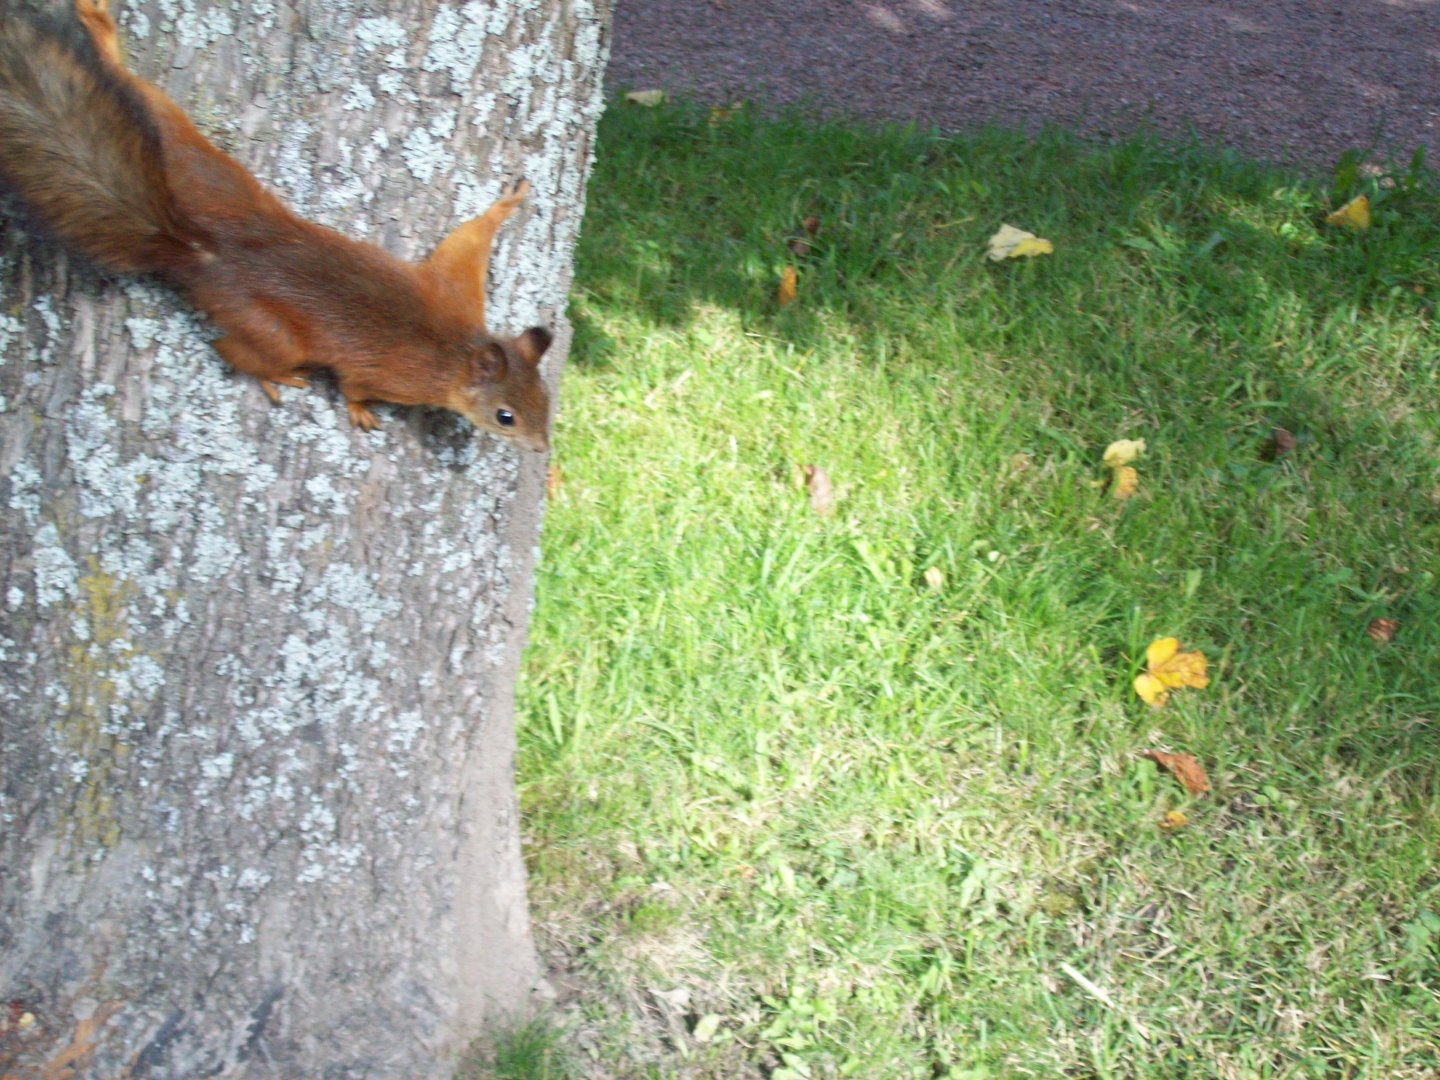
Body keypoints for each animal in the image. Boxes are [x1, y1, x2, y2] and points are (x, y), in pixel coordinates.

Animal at [0, 0, 552, 452]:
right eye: (505, 416)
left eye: (546, 400)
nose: (541, 449)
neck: (459, 349)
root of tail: (200, 246)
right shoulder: (400, 373)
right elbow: (354, 384)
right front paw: (359, 411)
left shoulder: (455, 287)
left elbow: (468, 239)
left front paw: (507, 205)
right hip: (265, 324)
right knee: (231, 349)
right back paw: (278, 377)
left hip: (194, 166)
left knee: (143, 95)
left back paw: (99, 28)